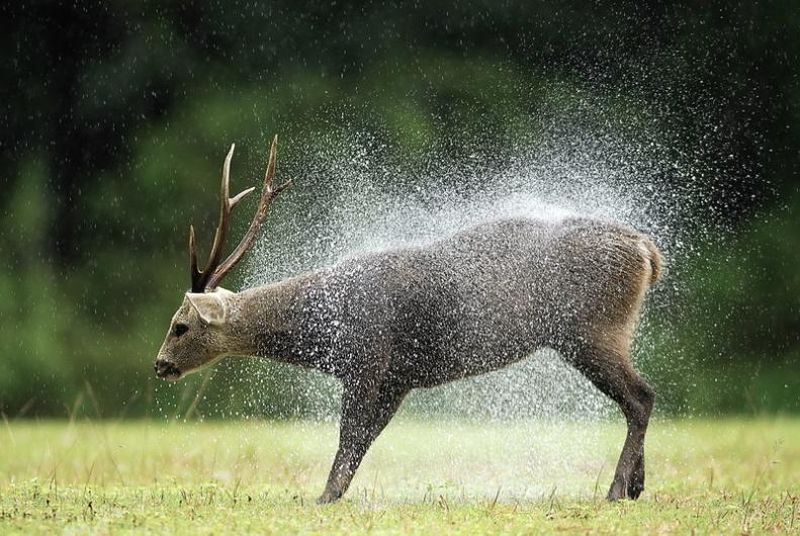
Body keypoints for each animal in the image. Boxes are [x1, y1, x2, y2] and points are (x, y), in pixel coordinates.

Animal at [155, 136, 664, 504]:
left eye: (181, 325)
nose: (160, 364)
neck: (323, 324)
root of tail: (647, 250)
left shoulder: (367, 358)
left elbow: (348, 437)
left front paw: (322, 498)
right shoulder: (399, 378)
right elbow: (363, 441)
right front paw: (334, 494)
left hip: (591, 328)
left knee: (641, 396)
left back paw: (616, 490)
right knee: (640, 397)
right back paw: (636, 486)